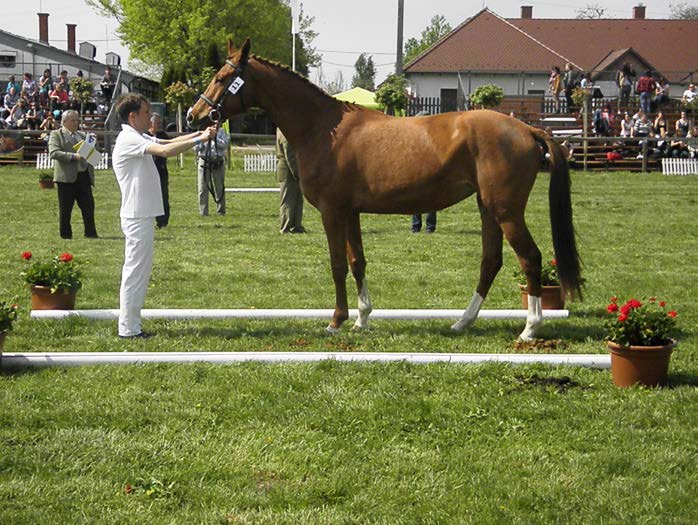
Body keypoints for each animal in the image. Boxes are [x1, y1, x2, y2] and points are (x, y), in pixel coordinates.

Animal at [186, 39, 580, 338]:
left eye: (223, 77)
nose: (194, 116)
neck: (323, 128)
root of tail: (527, 128)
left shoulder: (332, 212)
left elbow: (337, 264)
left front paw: (336, 321)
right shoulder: (350, 212)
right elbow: (357, 261)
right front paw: (362, 318)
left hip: (506, 210)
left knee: (530, 258)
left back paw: (530, 328)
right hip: (488, 208)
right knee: (491, 261)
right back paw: (462, 322)